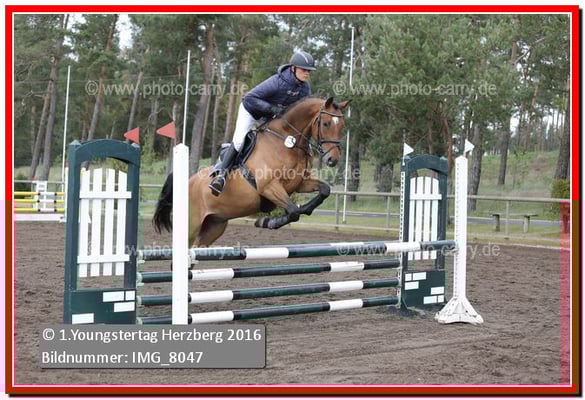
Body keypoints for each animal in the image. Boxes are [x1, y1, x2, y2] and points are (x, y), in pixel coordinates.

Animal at [153, 96, 351, 247]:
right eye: (325, 124)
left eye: (342, 125)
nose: (333, 159)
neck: (288, 142)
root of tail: (189, 181)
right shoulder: (269, 187)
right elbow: (293, 211)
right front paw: (268, 222)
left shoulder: (299, 183)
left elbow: (324, 190)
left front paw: (299, 212)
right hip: (191, 225)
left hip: (214, 225)